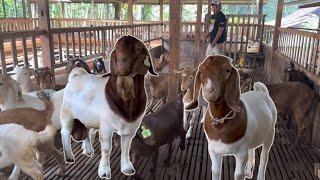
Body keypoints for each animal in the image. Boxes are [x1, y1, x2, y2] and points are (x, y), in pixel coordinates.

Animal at [60, 35, 158, 179]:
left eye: (138, 48)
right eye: (116, 47)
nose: (122, 61)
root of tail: (76, 75)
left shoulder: (130, 129)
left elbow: (126, 148)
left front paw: (127, 168)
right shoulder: (106, 128)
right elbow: (106, 149)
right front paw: (104, 171)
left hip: (86, 117)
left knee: (87, 131)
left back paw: (89, 151)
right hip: (67, 115)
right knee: (65, 133)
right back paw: (69, 157)